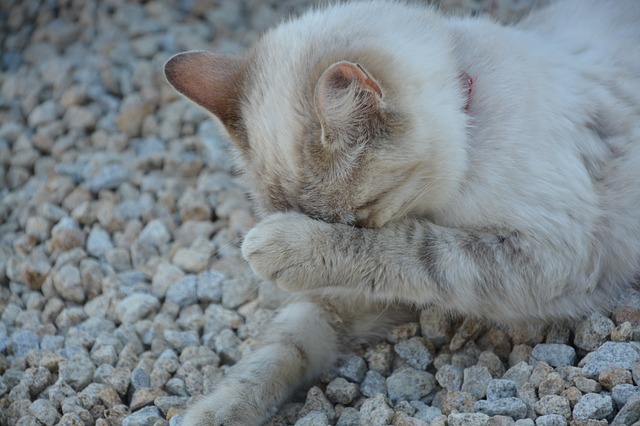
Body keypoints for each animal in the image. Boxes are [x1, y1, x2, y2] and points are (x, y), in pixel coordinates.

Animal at [161, 1, 640, 424]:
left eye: (356, 217)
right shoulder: (347, 300)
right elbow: (282, 347)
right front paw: (215, 412)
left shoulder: (548, 255)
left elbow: (411, 249)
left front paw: (282, 247)